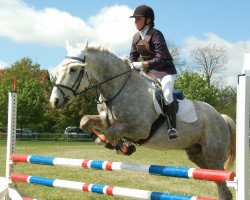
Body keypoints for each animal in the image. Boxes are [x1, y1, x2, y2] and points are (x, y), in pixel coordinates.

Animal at [49, 39, 235, 199]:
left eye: (73, 69)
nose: (54, 101)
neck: (117, 88)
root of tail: (221, 116)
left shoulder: (140, 129)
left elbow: (112, 133)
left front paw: (122, 147)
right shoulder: (106, 121)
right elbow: (85, 122)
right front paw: (105, 141)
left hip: (213, 155)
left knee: (222, 186)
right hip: (196, 154)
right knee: (218, 181)